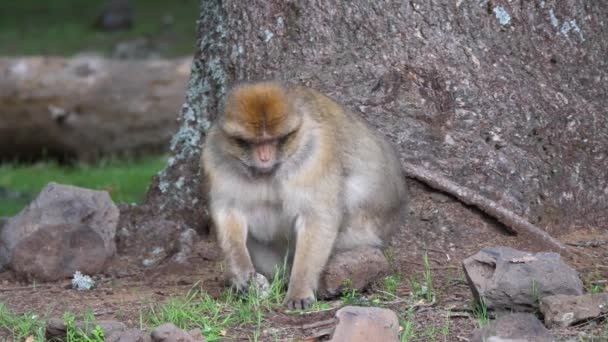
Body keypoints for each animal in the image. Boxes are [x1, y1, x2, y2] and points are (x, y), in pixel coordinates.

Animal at [201, 81, 408, 310]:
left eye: (276, 140)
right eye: (251, 142)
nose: (264, 157)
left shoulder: (315, 157)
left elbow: (317, 218)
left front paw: (299, 290)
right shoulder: (217, 157)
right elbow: (229, 213)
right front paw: (243, 274)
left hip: (360, 238)